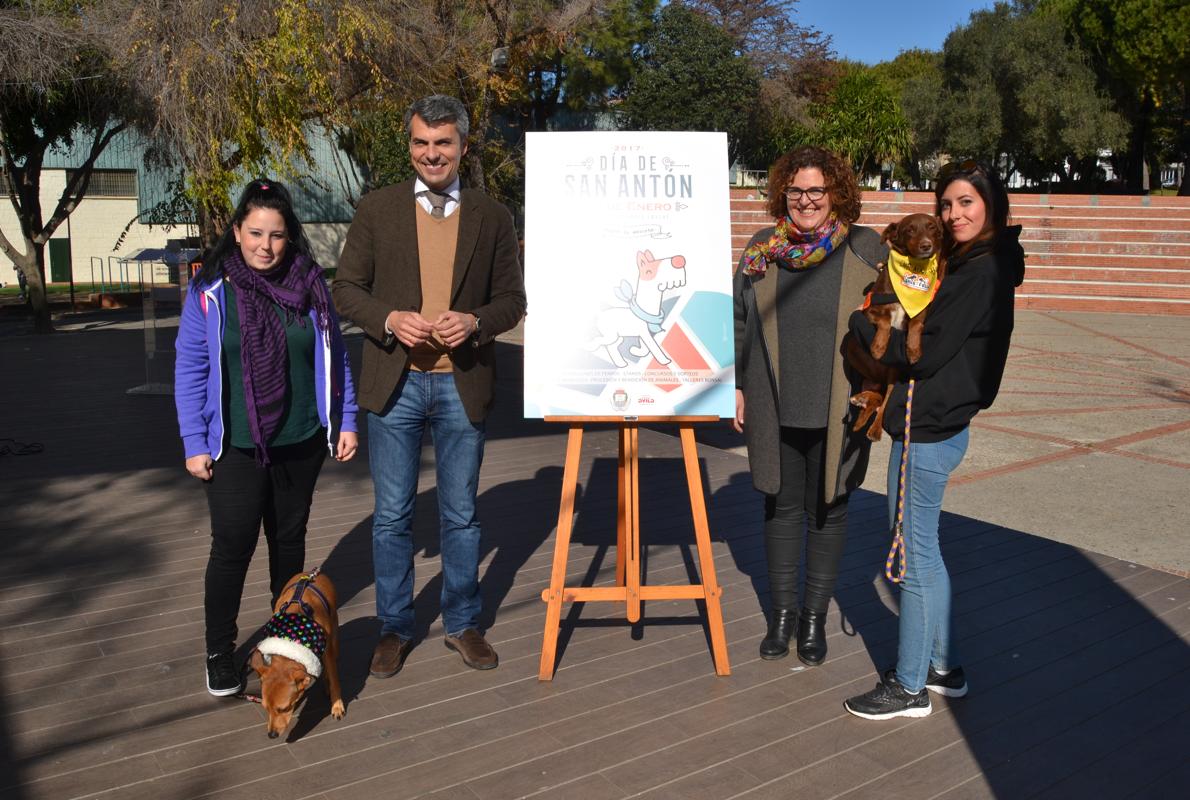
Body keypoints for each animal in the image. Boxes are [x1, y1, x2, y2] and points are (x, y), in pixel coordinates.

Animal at [247, 569, 345, 738]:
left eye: (284, 708)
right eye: (265, 708)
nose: (271, 735)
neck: (293, 635)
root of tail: (310, 573)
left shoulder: (328, 654)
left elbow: (334, 680)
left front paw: (337, 706)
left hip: (334, 636)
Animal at [847, 211, 947, 440]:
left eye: (932, 227)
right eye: (910, 229)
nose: (926, 245)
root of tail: (880, 380)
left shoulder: (922, 309)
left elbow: (917, 322)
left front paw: (913, 350)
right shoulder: (869, 310)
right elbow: (884, 321)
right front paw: (878, 347)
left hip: (894, 375)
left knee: (883, 405)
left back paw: (874, 430)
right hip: (852, 348)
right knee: (877, 397)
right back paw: (862, 401)